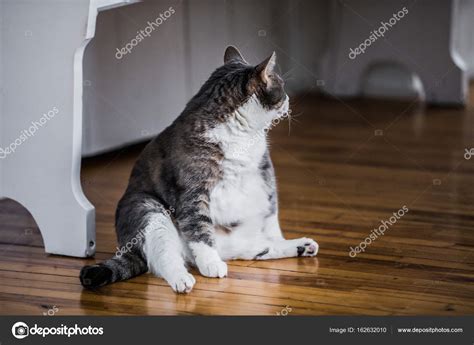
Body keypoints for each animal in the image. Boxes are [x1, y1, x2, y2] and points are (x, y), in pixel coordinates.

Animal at [80, 46, 318, 292]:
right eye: (281, 87)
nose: (289, 100)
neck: (242, 133)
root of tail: (128, 247)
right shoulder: (193, 191)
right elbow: (199, 228)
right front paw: (211, 264)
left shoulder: (264, 172)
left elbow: (272, 215)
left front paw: (279, 239)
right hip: (148, 209)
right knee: (164, 259)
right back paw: (183, 278)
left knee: (255, 248)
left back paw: (300, 246)